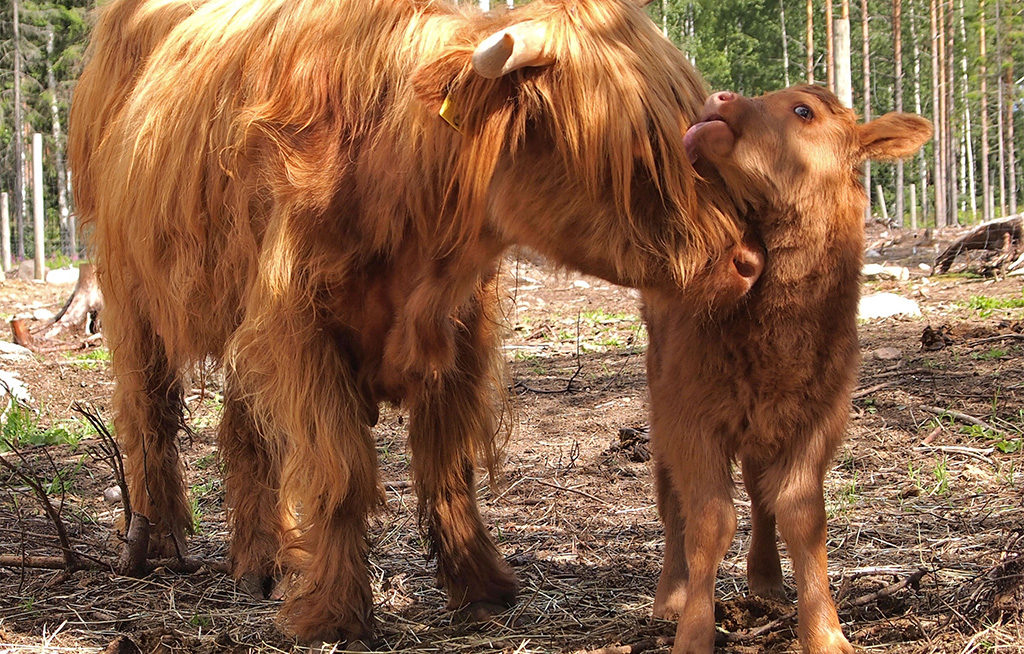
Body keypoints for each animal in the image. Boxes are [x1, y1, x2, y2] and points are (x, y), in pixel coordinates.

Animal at [70, 0, 745, 646]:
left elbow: (446, 466)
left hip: (246, 320)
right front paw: (334, 615)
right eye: (635, 155)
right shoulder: (300, 328)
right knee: (150, 410)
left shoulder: (458, 331)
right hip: (130, 288)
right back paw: (161, 544)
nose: (745, 261)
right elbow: (341, 471)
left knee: (245, 430)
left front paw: (481, 586)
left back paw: (267, 560)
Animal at [643, 84, 933, 650]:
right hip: (662, 401)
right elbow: (709, 521)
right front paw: (694, 631)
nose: (720, 96)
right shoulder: (690, 417)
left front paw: (825, 632)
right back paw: (669, 596)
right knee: (672, 503)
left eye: (804, 110)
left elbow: (802, 515)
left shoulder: (817, 416)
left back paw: (766, 579)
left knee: (760, 493)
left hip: (762, 424)